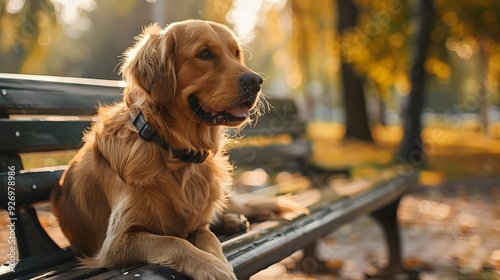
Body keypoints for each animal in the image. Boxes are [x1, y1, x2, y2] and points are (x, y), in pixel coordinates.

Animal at [51, 18, 308, 278]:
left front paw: (217, 259)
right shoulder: (116, 243)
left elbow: (206, 234)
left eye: (236, 54)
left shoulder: (197, 221)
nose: (256, 81)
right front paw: (212, 268)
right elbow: (174, 242)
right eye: (204, 54)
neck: (173, 151)